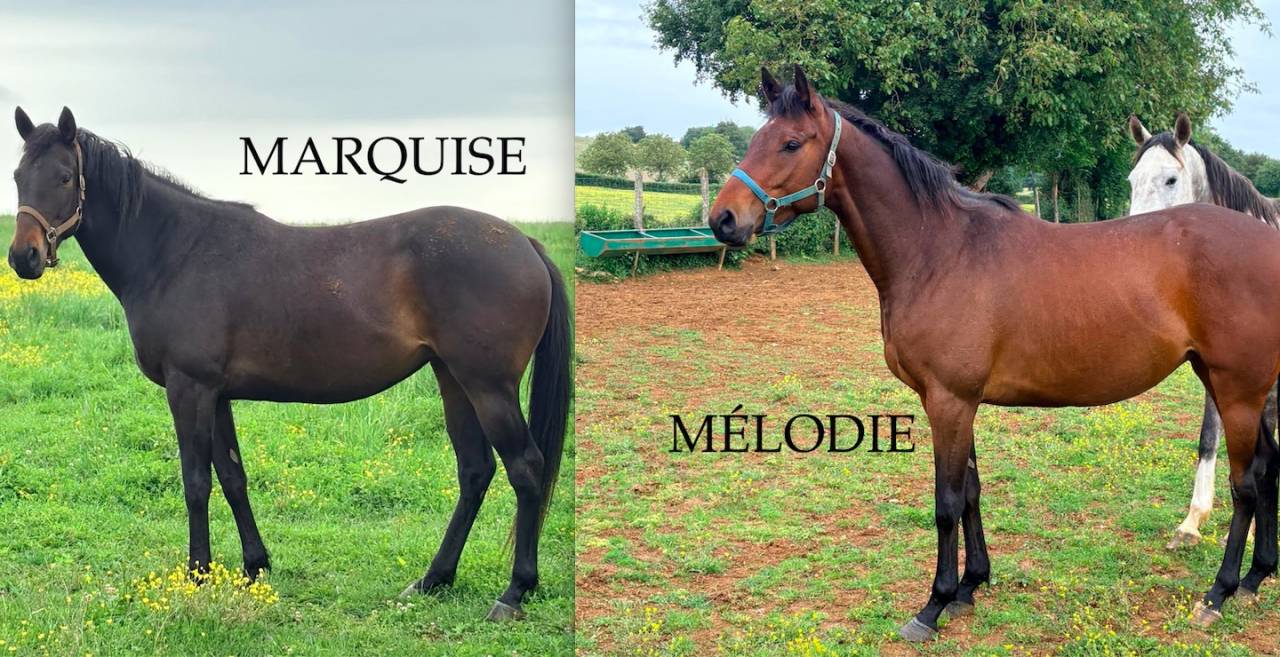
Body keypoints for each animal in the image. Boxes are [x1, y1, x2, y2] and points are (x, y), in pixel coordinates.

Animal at [7, 107, 571, 621]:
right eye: (16, 176)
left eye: (64, 177)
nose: (23, 258)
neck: (174, 251)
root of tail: (525, 244)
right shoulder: (216, 394)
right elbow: (232, 476)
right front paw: (253, 567)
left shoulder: (189, 389)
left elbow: (196, 482)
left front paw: (197, 575)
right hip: (453, 380)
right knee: (475, 471)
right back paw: (434, 579)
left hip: (488, 386)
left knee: (525, 469)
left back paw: (514, 592)